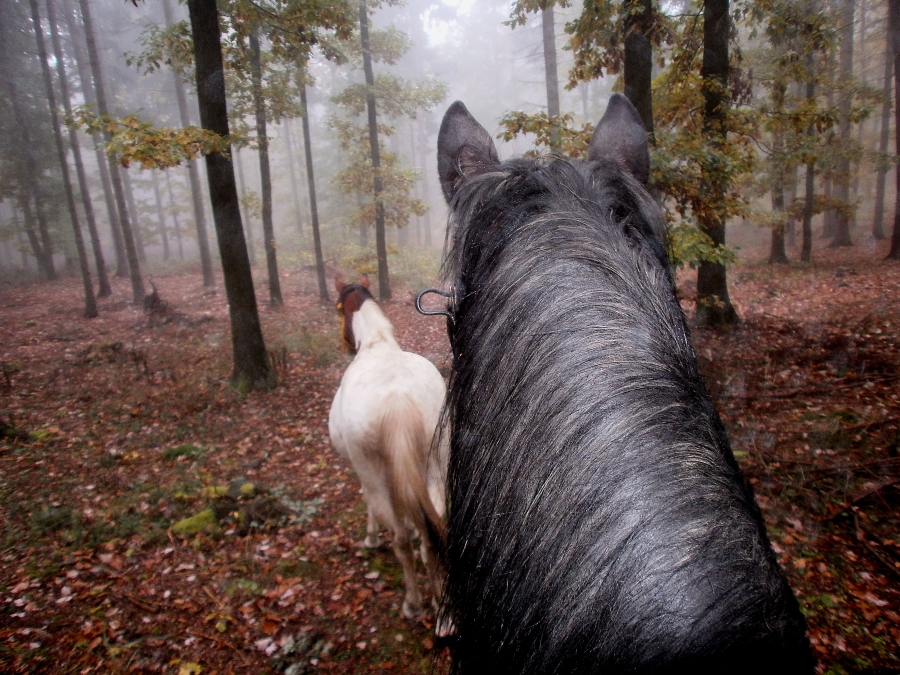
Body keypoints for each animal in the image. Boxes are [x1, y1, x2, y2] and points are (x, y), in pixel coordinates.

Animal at [327, 276, 448, 621]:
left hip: (374, 472)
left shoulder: (363, 471)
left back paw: (413, 603)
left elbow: (368, 502)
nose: (344, 346)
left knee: (402, 542)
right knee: (433, 531)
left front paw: (370, 537)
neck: (377, 343)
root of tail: (399, 403)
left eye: (338, 308)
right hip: (434, 464)